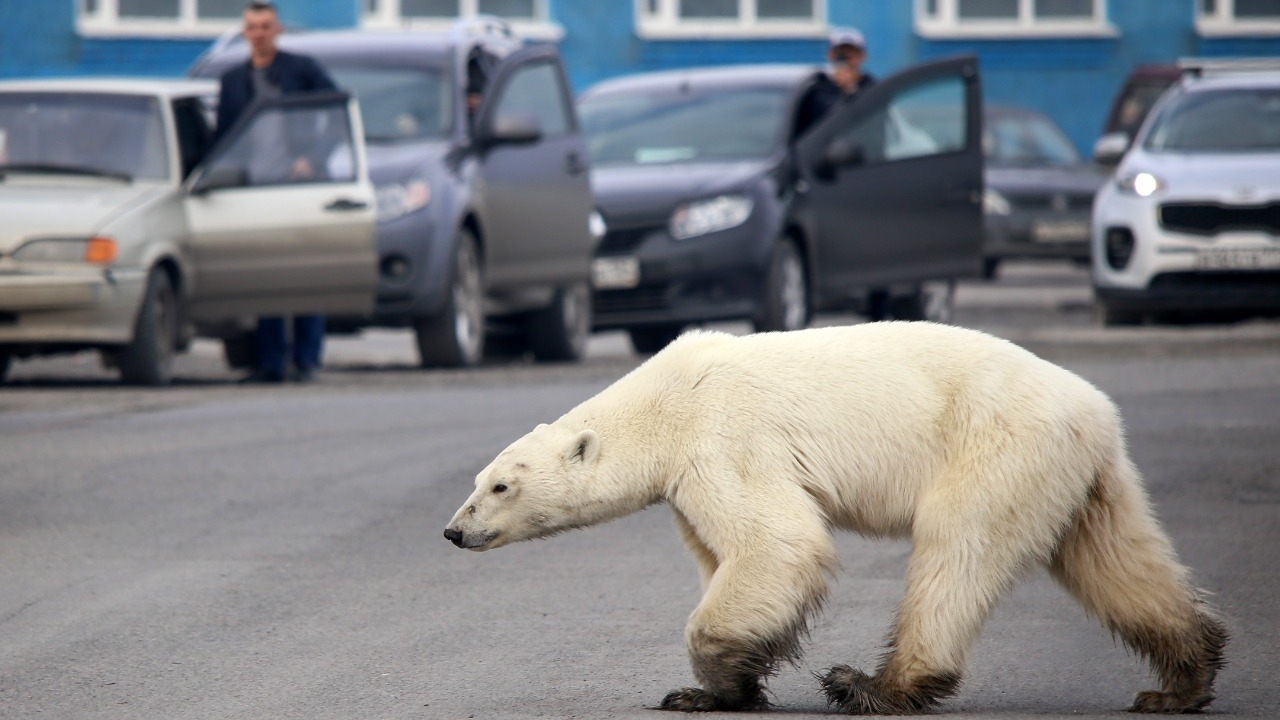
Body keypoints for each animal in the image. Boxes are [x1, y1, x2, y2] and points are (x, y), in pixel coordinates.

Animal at [445, 324, 1223, 712]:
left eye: (501, 486)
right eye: (478, 481)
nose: (453, 530)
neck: (663, 399)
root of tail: (1096, 411)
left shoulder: (724, 438)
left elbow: (777, 543)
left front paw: (715, 682)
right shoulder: (689, 478)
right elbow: (722, 555)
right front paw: (714, 689)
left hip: (995, 446)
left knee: (956, 549)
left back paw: (873, 685)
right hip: (1080, 475)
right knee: (1116, 560)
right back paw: (1180, 681)